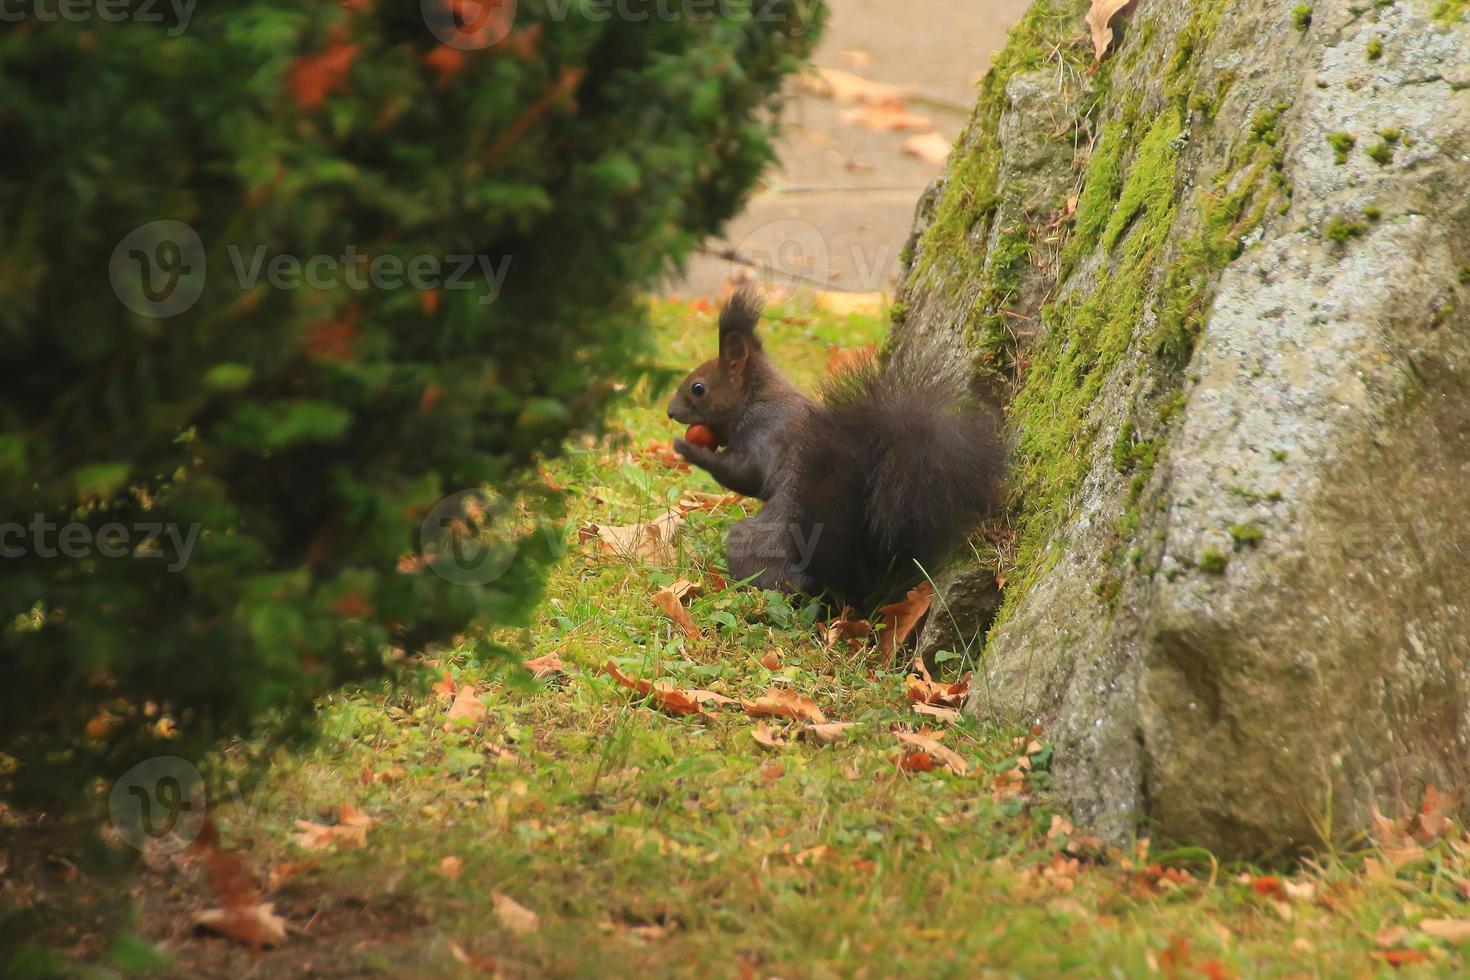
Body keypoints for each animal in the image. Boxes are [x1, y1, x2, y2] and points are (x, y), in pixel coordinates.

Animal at [670, 285, 1005, 605]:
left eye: (698, 388)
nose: (671, 412)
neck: (759, 395)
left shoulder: (767, 434)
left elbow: (744, 475)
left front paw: (691, 450)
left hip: (750, 543)